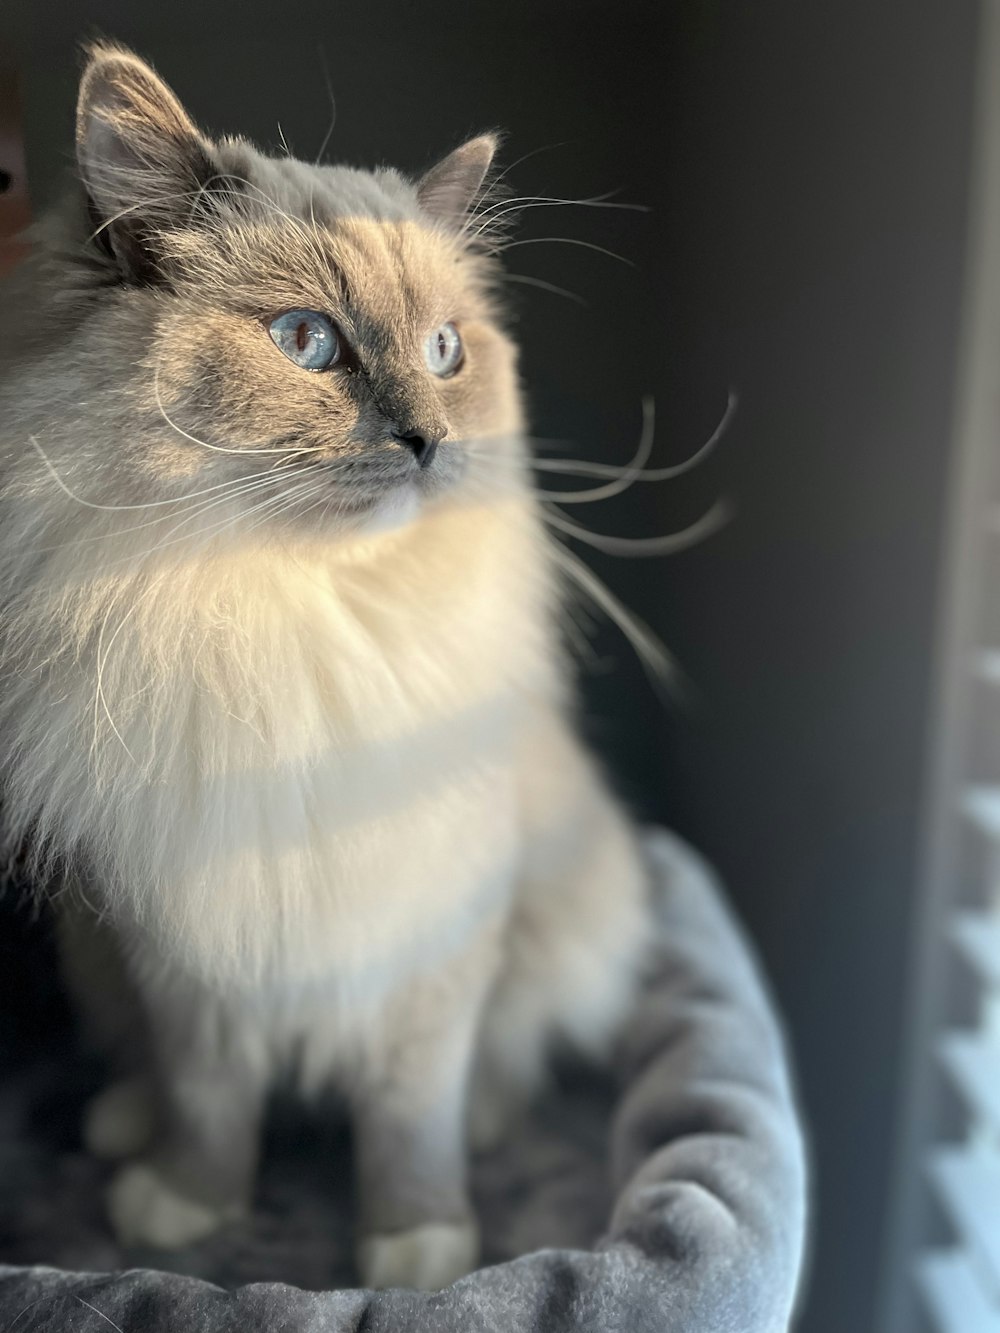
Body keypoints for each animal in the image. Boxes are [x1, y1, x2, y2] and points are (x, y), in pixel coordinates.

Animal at [0, 49, 650, 1290]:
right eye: (308, 343)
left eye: (446, 352)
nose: (428, 442)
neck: (295, 626)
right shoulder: (188, 956)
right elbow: (210, 1104)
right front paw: (185, 1208)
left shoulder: (429, 936)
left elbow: (408, 1118)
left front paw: (419, 1256)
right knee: (144, 1071)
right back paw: (122, 1130)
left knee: (503, 1058)